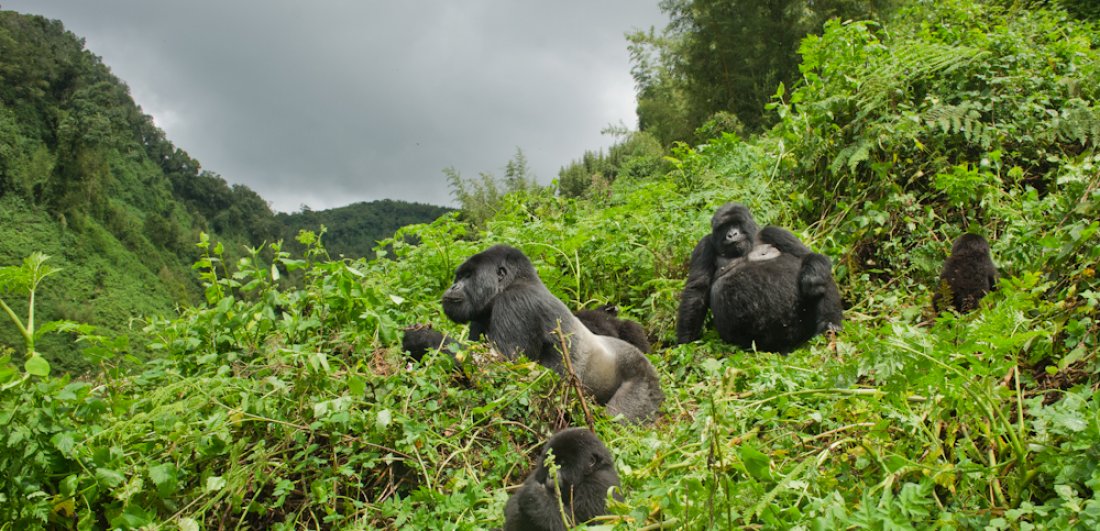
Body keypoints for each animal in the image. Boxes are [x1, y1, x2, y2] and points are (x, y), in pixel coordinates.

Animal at [437, 245, 660, 424]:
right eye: (459, 276)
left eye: (468, 276)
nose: (453, 286)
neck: (515, 282)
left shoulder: (515, 302)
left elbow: (502, 373)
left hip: (644, 378)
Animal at [668, 203, 840, 353]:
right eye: (724, 227)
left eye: (737, 223)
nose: (732, 234)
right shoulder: (703, 246)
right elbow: (697, 290)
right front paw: (685, 341)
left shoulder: (775, 232)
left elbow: (807, 256)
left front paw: (811, 278)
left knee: (821, 275)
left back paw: (830, 325)